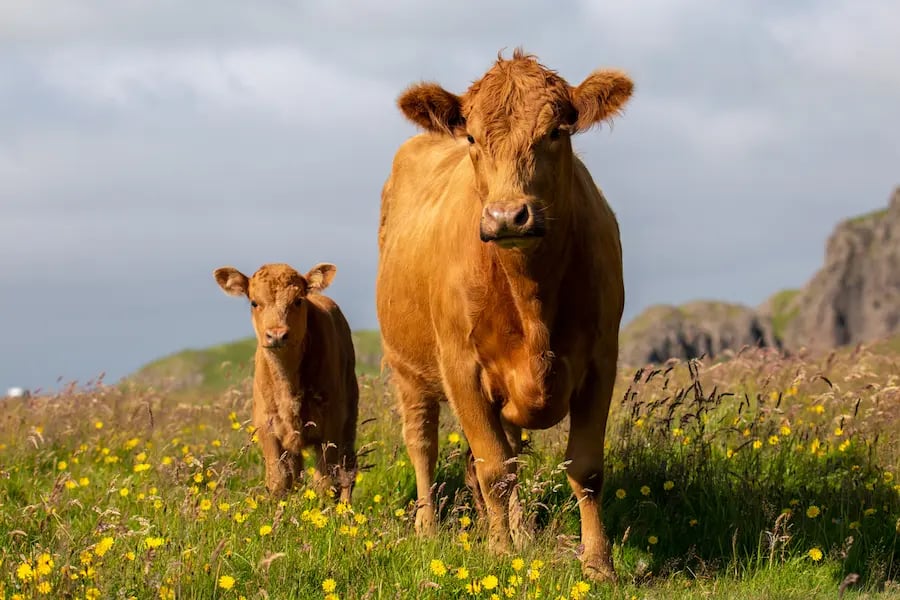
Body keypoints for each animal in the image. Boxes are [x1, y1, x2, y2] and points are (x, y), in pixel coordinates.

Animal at [214, 262, 359, 503]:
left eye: (298, 300)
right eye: (254, 302)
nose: (276, 335)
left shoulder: (331, 424)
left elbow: (326, 481)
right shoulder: (267, 426)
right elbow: (278, 480)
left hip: (349, 416)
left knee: (348, 468)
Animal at [375, 49, 633, 582]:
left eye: (556, 131)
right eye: (472, 137)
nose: (507, 216)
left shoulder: (601, 359)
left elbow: (585, 468)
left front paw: (598, 564)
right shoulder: (461, 367)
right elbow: (492, 468)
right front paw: (498, 554)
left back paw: (525, 535)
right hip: (407, 370)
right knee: (423, 444)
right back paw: (429, 529)